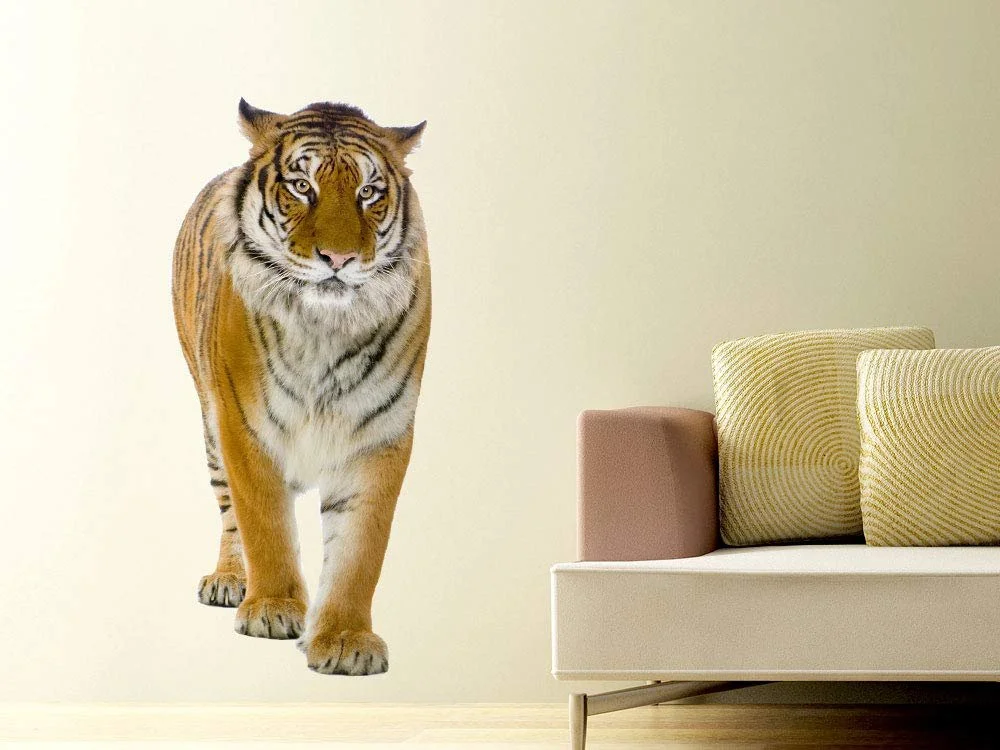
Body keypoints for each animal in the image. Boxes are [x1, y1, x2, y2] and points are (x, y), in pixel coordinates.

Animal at [171, 99, 430, 676]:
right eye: (301, 186)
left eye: (369, 192)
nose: (338, 259)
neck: (324, 328)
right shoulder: (245, 426)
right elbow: (263, 523)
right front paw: (271, 609)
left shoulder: (379, 435)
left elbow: (360, 550)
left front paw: (347, 639)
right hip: (208, 420)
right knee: (229, 512)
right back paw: (229, 580)